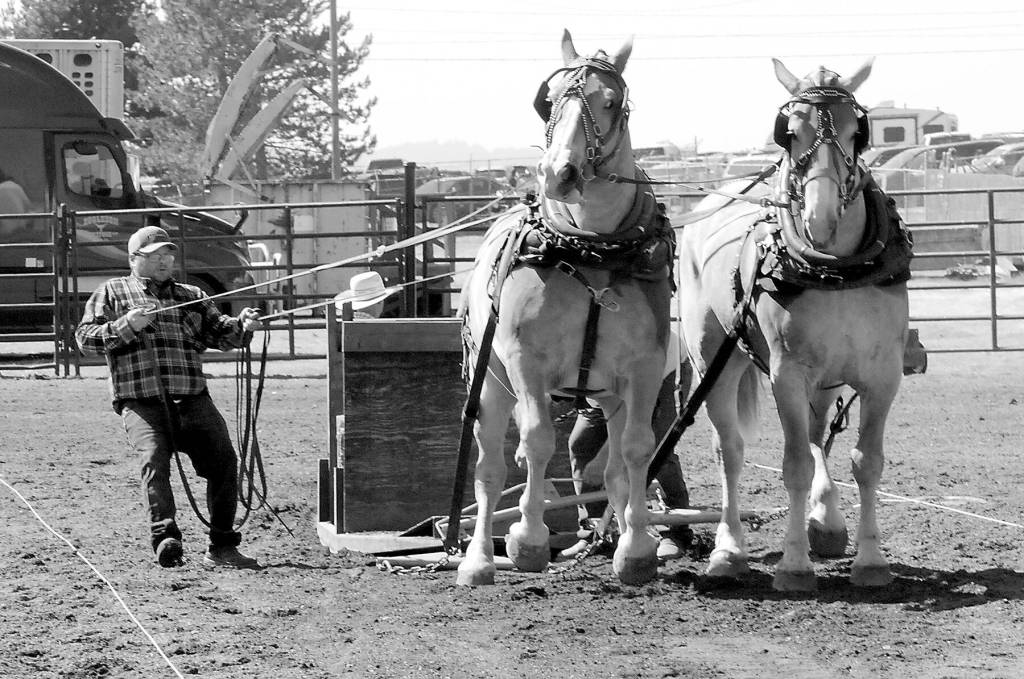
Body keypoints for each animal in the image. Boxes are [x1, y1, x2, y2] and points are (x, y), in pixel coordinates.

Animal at [455, 29, 675, 586]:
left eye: (612, 101)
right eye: (549, 101)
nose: (560, 172)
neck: (591, 248)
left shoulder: (643, 369)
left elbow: (636, 449)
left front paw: (637, 549)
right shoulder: (525, 361)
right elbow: (535, 442)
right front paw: (528, 539)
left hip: (608, 396)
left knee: (613, 466)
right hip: (490, 383)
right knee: (489, 468)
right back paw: (478, 560)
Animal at [676, 58, 912, 591]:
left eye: (857, 131)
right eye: (789, 132)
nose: (821, 216)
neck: (836, 269)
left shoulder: (882, 375)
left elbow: (866, 461)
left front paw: (871, 560)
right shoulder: (786, 374)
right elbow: (795, 465)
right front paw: (794, 565)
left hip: (826, 377)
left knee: (817, 430)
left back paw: (826, 522)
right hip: (714, 360)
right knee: (731, 450)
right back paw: (729, 550)